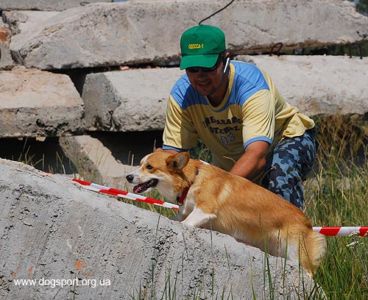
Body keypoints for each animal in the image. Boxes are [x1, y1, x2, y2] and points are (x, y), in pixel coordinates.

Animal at [126, 150, 324, 276]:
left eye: (149, 167)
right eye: (140, 164)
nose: (128, 177)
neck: (193, 179)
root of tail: (307, 223)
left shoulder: (204, 211)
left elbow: (185, 224)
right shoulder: (187, 211)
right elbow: (177, 218)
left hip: (296, 254)